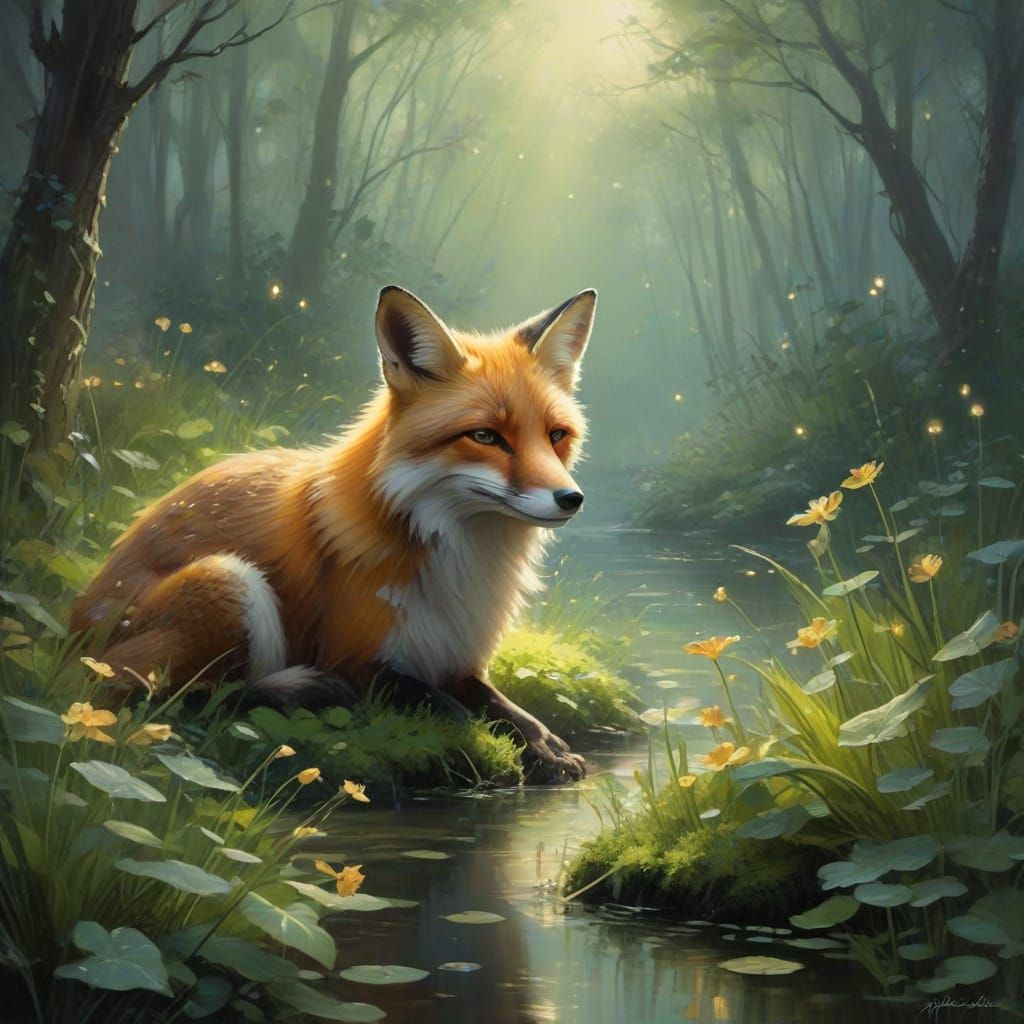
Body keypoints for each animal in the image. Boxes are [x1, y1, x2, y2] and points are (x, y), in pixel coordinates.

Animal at [71, 285, 598, 782]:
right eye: (486, 436)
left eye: (555, 435)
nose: (571, 499)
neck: (460, 560)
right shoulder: (357, 660)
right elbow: (454, 713)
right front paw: (505, 752)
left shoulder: (454, 656)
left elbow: (503, 707)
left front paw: (546, 745)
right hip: (227, 581)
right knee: (180, 703)